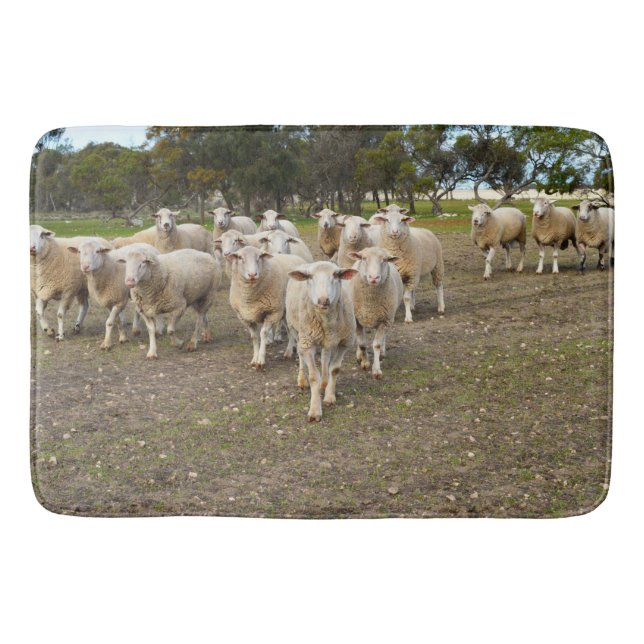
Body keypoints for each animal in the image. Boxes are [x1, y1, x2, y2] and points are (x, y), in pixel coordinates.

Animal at [285, 261, 358, 422]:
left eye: (336, 275)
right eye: (310, 277)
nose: (323, 300)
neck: (326, 320)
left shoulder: (344, 343)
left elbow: (334, 369)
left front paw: (329, 396)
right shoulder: (307, 343)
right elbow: (313, 377)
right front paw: (315, 410)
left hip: (327, 340)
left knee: (325, 356)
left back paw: (324, 383)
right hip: (296, 330)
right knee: (300, 354)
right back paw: (302, 380)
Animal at [347, 247, 403, 379]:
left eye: (385, 260)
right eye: (364, 258)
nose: (374, 277)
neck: (370, 304)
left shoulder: (384, 320)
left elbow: (376, 344)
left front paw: (376, 370)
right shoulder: (357, 319)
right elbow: (362, 343)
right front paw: (365, 363)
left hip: (389, 317)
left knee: (383, 337)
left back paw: (382, 352)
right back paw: (359, 355)